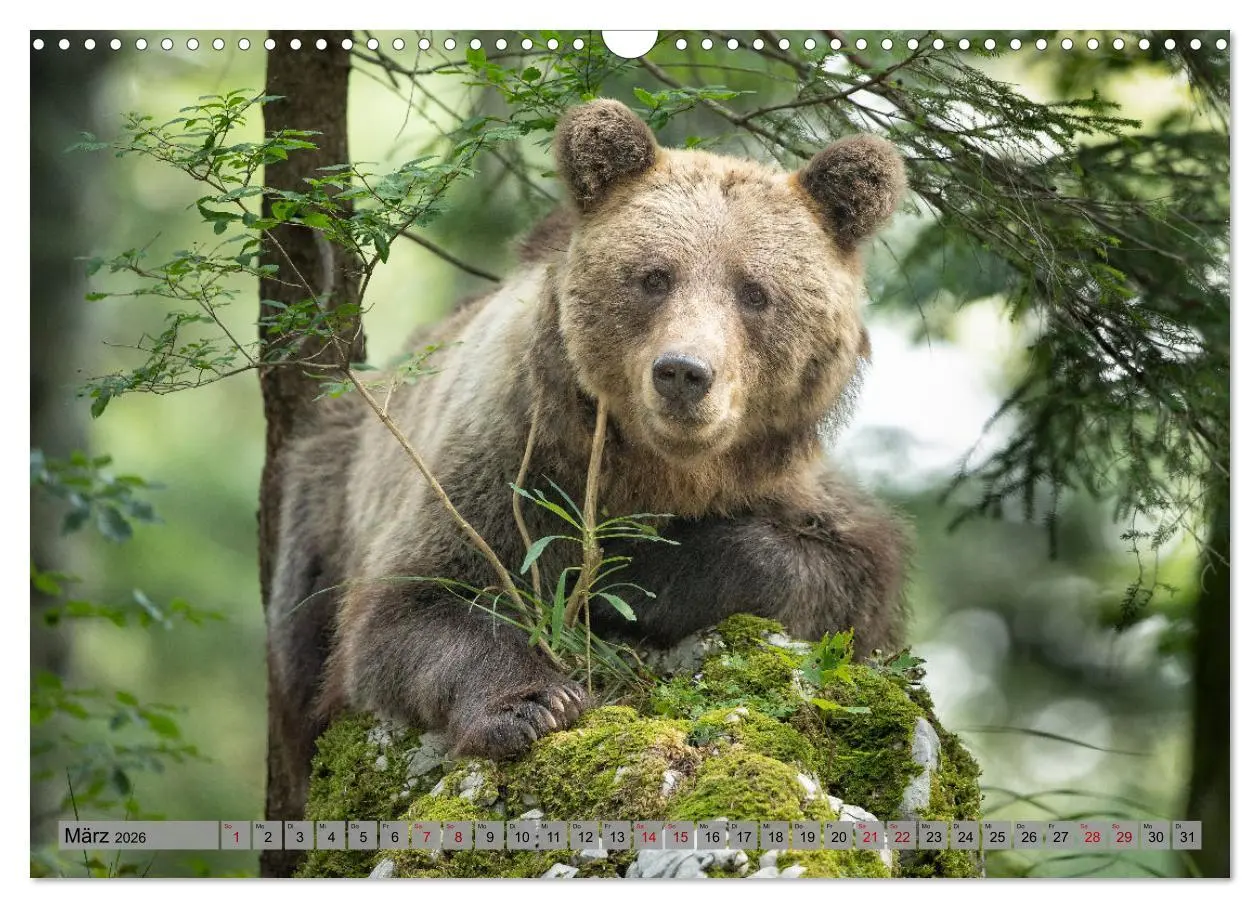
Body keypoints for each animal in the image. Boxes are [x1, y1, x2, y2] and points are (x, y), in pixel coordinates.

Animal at [266, 98, 910, 810]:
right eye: (655, 276)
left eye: (755, 290)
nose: (683, 372)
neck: (657, 468)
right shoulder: (508, 459)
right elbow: (409, 607)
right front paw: (533, 701)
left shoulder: (784, 485)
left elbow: (838, 573)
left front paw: (629, 575)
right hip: (327, 491)